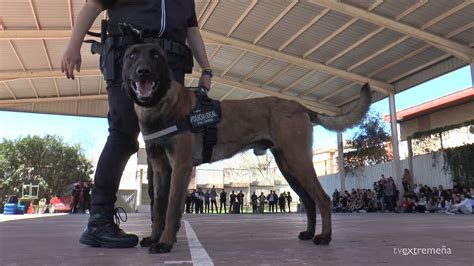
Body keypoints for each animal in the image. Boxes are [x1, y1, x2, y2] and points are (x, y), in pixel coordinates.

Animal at [121, 43, 370, 254]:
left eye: (156, 55)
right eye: (132, 55)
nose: (143, 72)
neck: (161, 107)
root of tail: (299, 106)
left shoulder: (180, 168)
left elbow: (171, 210)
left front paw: (165, 243)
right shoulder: (161, 170)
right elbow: (157, 210)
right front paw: (154, 238)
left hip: (298, 161)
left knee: (323, 199)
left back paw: (325, 236)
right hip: (289, 167)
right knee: (309, 201)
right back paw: (309, 233)